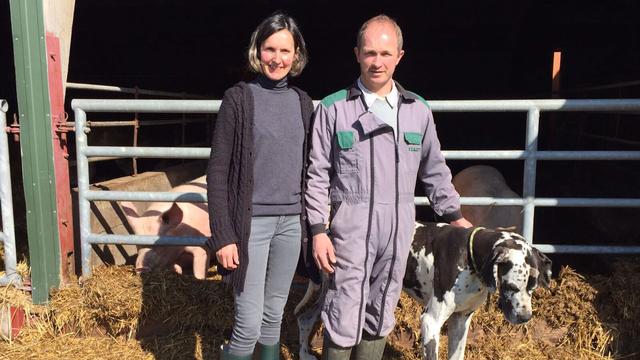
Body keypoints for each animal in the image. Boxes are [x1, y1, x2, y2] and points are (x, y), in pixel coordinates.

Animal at [296, 222, 552, 360]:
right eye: (512, 286)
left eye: (533, 287)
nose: (525, 317)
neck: (469, 257)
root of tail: (328, 232)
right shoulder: (430, 322)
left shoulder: (460, 320)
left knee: (304, 319)